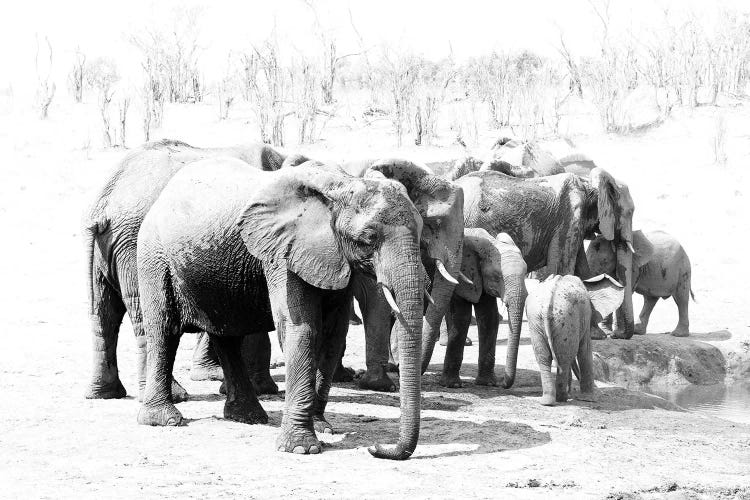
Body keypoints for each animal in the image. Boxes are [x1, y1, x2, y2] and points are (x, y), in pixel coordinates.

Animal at [82, 139, 306, 400]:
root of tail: (105, 201)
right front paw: (262, 390)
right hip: (136, 243)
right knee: (143, 313)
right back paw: (174, 394)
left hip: (106, 247)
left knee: (104, 313)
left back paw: (104, 393)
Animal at [137, 158, 426, 458]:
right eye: (367, 239)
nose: (376, 447)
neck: (341, 185)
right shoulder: (281, 254)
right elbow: (301, 331)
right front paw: (301, 448)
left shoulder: (335, 258)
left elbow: (333, 337)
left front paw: (321, 428)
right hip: (153, 255)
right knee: (164, 330)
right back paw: (165, 420)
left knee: (227, 336)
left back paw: (248, 417)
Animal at [440, 229, 528, 388]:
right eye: (497, 277)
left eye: (526, 274)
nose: (502, 382)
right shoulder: (460, 276)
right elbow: (462, 317)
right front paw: (453, 385)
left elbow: (489, 317)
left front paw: (487, 383)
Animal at [524, 274, 624, 406]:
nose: (597, 388)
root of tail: (546, 306)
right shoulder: (586, 316)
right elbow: (585, 350)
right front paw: (589, 399)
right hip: (566, 318)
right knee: (564, 357)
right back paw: (562, 398)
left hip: (537, 321)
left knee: (544, 357)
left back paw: (548, 401)